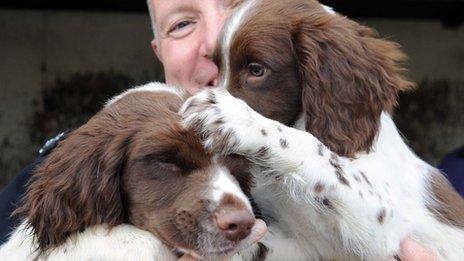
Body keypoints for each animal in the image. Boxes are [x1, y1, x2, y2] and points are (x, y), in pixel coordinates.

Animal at [180, 0, 464, 258]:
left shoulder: (385, 220)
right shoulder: (299, 246)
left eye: (256, 69)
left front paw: (234, 118)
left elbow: (313, 148)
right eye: (216, 70)